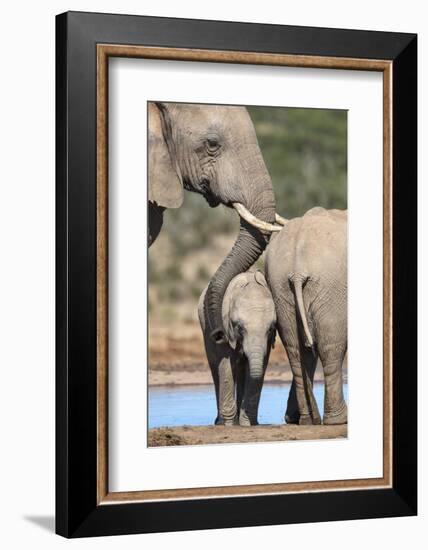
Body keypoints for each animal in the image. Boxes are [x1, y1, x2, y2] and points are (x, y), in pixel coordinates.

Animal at [198, 272, 276, 426]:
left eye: (270, 329)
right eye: (240, 327)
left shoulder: (268, 341)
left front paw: (248, 423)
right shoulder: (224, 327)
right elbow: (226, 365)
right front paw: (230, 424)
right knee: (216, 368)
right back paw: (220, 422)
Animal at [268, 207, 348, 426]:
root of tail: (297, 268)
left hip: (280, 288)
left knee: (296, 351)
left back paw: (307, 420)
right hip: (331, 289)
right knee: (331, 349)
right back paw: (338, 420)